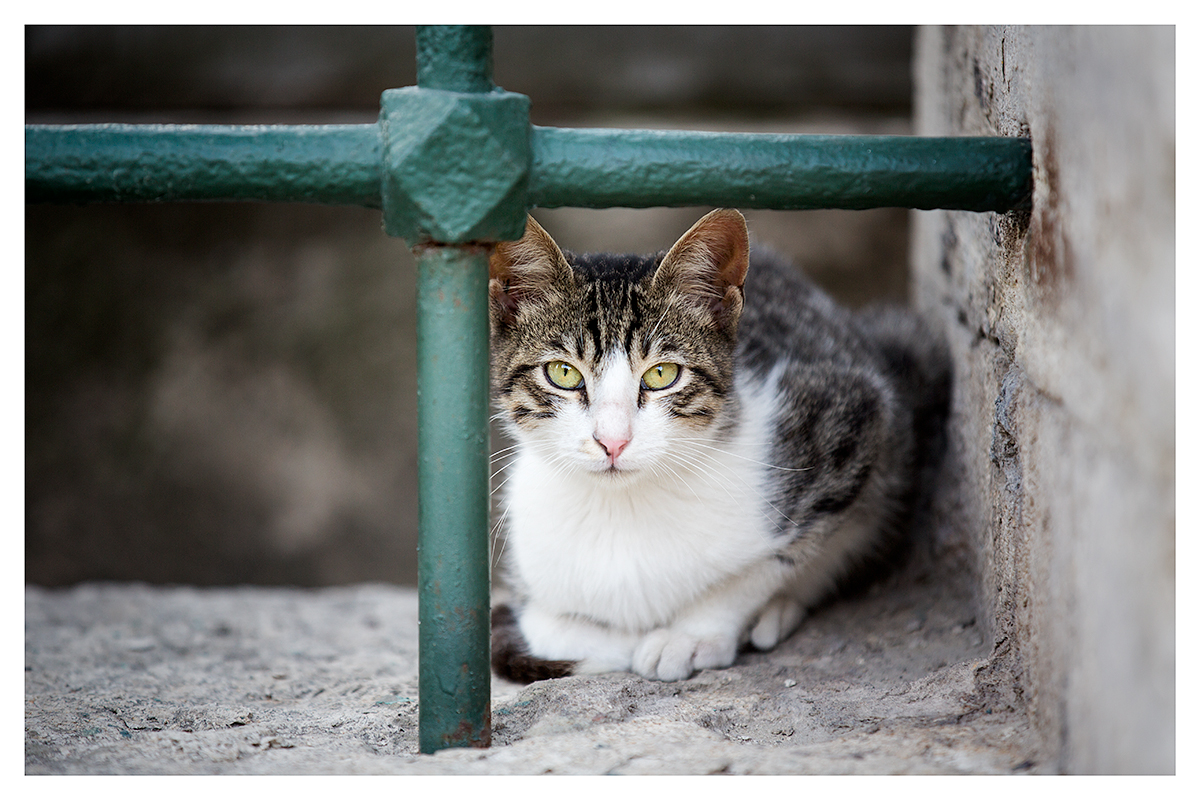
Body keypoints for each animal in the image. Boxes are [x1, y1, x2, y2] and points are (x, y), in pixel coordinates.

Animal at [484, 211, 945, 681]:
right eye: (563, 372)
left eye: (662, 374)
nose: (612, 440)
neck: (623, 506)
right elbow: (548, 629)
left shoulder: (854, 415)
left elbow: (770, 563)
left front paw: (691, 634)